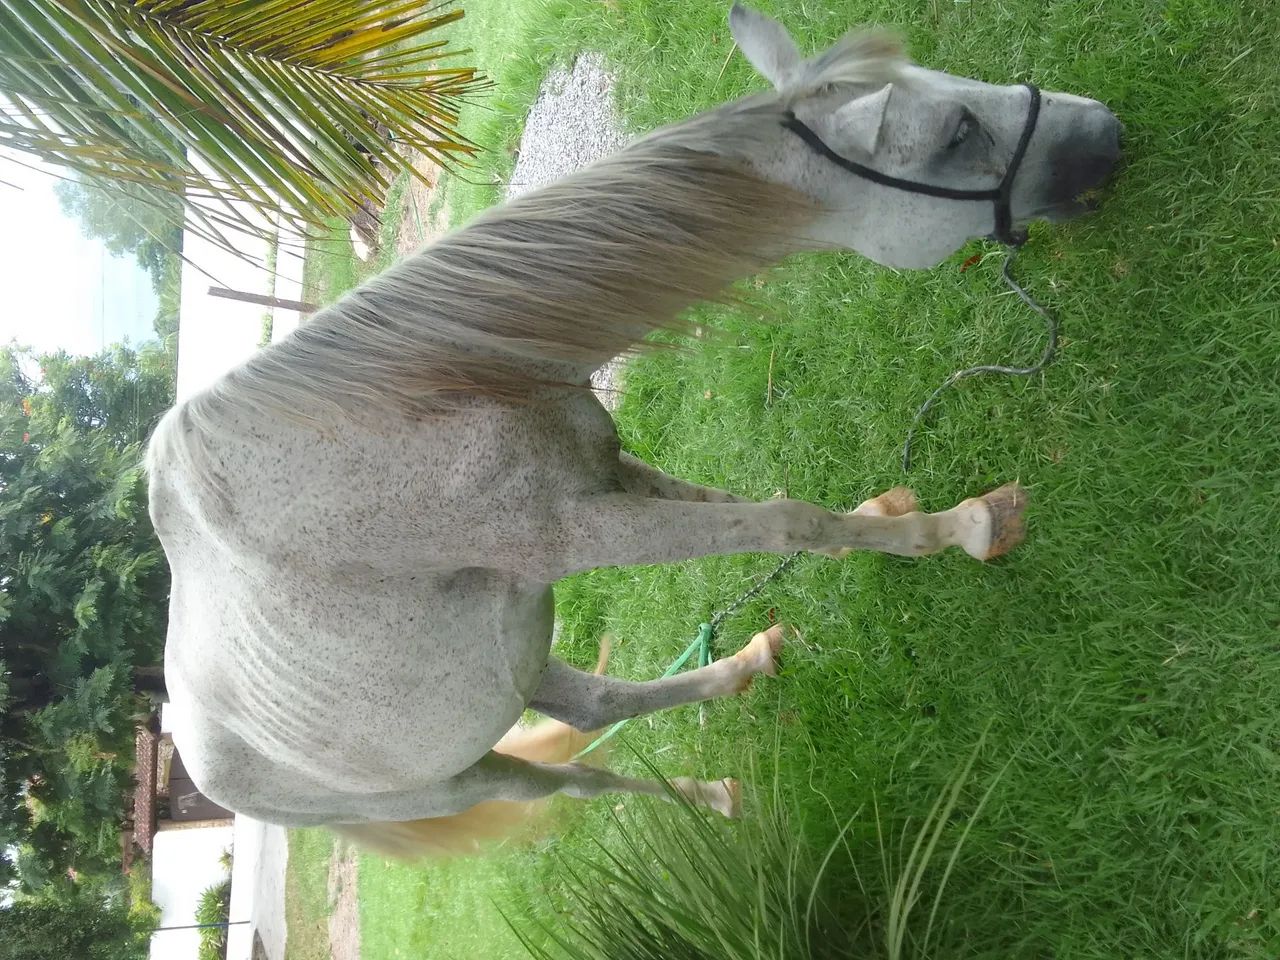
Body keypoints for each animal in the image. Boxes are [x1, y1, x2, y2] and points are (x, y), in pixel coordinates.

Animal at [146, 4, 1121, 856]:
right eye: (957, 132)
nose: (1108, 130)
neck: (416, 402)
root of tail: (203, 764)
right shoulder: (581, 532)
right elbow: (787, 520)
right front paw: (964, 527)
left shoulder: (607, 469)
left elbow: (746, 507)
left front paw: (882, 518)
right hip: (459, 779)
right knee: (575, 782)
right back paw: (713, 796)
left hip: (516, 665)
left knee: (595, 709)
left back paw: (745, 665)